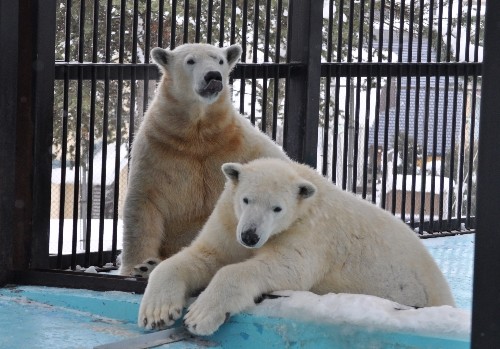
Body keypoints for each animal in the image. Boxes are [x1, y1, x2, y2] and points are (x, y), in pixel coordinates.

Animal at [118, 42, 288, 278]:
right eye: (190, 61)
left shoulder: (244, 146)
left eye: (220, 60)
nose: (213, 76)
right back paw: (150, 266)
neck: (198, 136)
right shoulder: (156, 149)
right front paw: (138, 265)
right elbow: (144, 203)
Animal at [139, 158, 456, 334]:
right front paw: (157, 312)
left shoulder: (309, 231)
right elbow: (206, 255)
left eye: (277, 208)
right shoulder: (230, 222)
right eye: (246, 199)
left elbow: (286, 267)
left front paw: (199, 317)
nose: (250, 236)